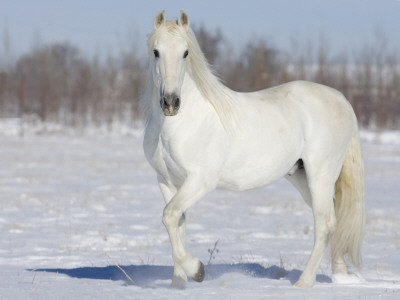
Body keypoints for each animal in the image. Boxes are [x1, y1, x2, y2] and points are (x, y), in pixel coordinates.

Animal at [141, 11, 366, 288]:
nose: (171, 102)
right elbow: (177, 224)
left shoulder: (200, 181)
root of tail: (341, 99)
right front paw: (178, 284)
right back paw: (340, 275)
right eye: (156, 51)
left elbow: (170, 215)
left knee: (324, 223)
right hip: (301, 177)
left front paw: (198, 271)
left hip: (320, 175)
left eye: (185, 52)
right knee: (334, 219)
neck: (179, 123)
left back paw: (304, 282)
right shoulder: (166, 181)